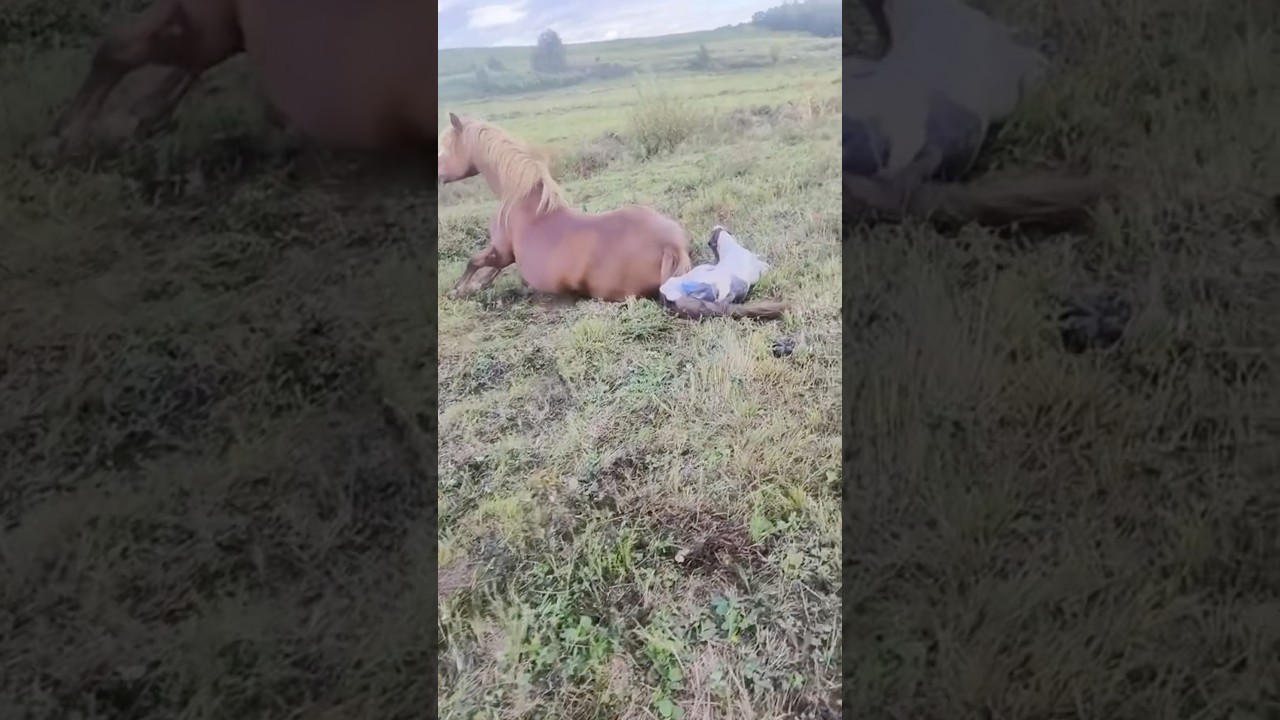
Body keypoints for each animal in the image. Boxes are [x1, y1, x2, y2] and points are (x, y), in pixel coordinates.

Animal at [437, 113, 787, 320]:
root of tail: (669, 246)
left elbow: (473, 261)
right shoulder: (503, 255)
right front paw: (474, 287)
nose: (437, 175)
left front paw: (458, 291)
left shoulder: (501, 251)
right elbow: (484, 270)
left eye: (444, 146)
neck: (523, 200)